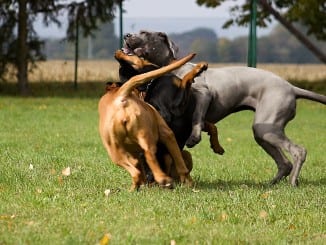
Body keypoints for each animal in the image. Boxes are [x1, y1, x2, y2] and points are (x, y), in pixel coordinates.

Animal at [97, 51, 194, 189]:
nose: (118, 52)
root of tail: (120, 97)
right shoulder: (168, 131)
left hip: (117, 150)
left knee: (139, 169)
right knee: (149, 158)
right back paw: (162, 180)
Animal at [123, 31, 324, 187]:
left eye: (144, 33)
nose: (126, 35)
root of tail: (291, 88)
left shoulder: (203, 94)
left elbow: (197, 117)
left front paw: (194, 138)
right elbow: (208, 125)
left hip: (267, 127)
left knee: (299, 151)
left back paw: (292, 182)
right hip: (264, 132)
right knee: (284, 163)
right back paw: (271, 184)